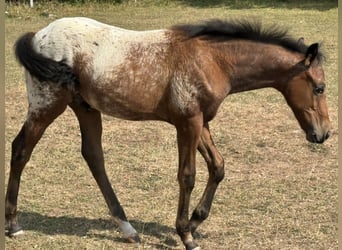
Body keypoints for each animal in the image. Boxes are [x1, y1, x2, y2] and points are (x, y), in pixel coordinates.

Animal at [6, 18, 332, 250]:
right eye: (320, 88)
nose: (324, 134)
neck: (214, 60)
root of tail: (38, 35)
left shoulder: (201, 122)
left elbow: (218, 166)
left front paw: (197, 221)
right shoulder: (187, 123)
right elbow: (187, 175)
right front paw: (186, 235)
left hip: (85, 108)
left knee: (93, 156)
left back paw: (127, 228)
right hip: (47, 105)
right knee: (21, 149)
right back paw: (13, 224)